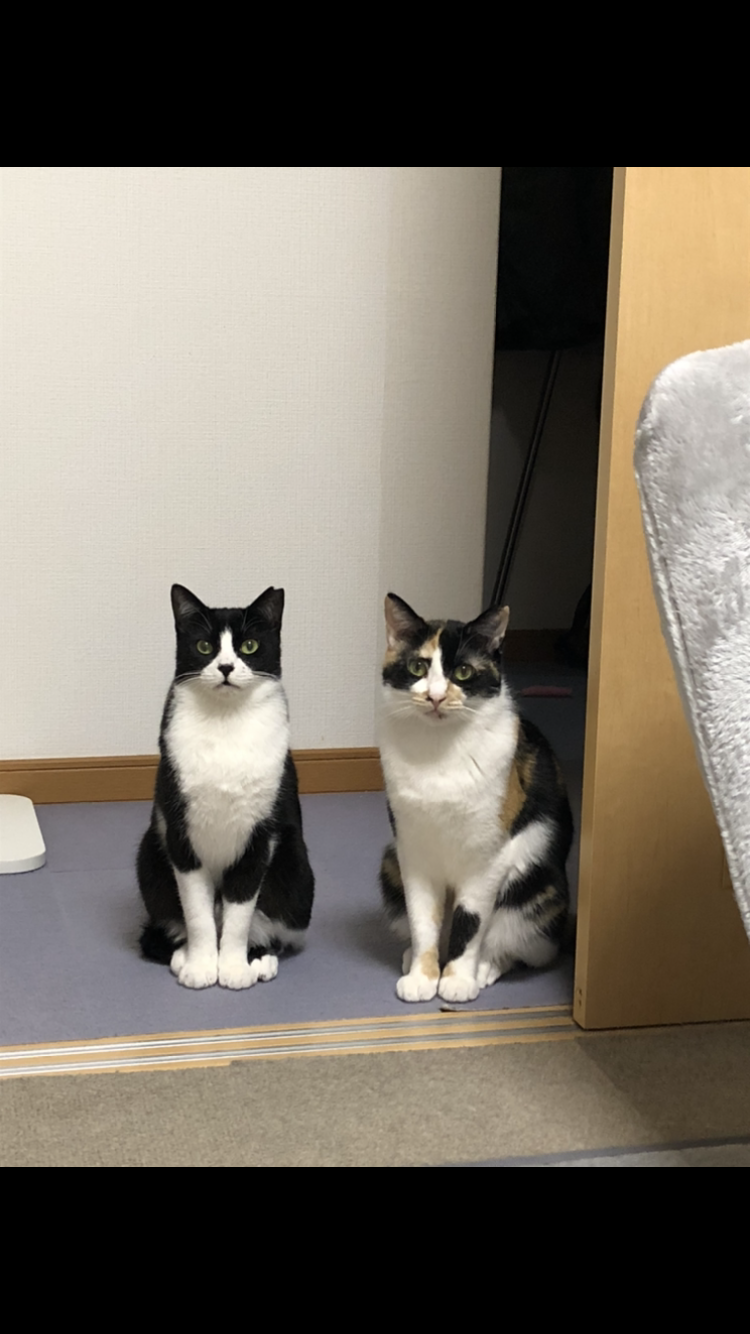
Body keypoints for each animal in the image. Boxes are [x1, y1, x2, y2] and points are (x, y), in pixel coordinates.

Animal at [137, 585, 315, 991]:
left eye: (249, 645)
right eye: (204, 646)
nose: (226, 667)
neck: (225, 721)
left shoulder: (260, 837)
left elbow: (239, 913)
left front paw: (233, 967)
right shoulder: (180, 832)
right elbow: (198, 913)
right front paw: (202, 965)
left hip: (296, 868)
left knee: (270, 923)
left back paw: (259, 958)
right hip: (149, 854)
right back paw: (182, 954)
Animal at [378, 594, 573, 1005]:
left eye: (464, 672)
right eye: (417, 667)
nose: (435, 696)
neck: (439, 754)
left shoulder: (488, 857)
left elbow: (470, 922)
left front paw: (457, 979)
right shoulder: (412, 851)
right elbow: (422, 919)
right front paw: (422, 976)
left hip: (533, 884)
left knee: (520, 946)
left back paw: (486, 967)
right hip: (389, 860)